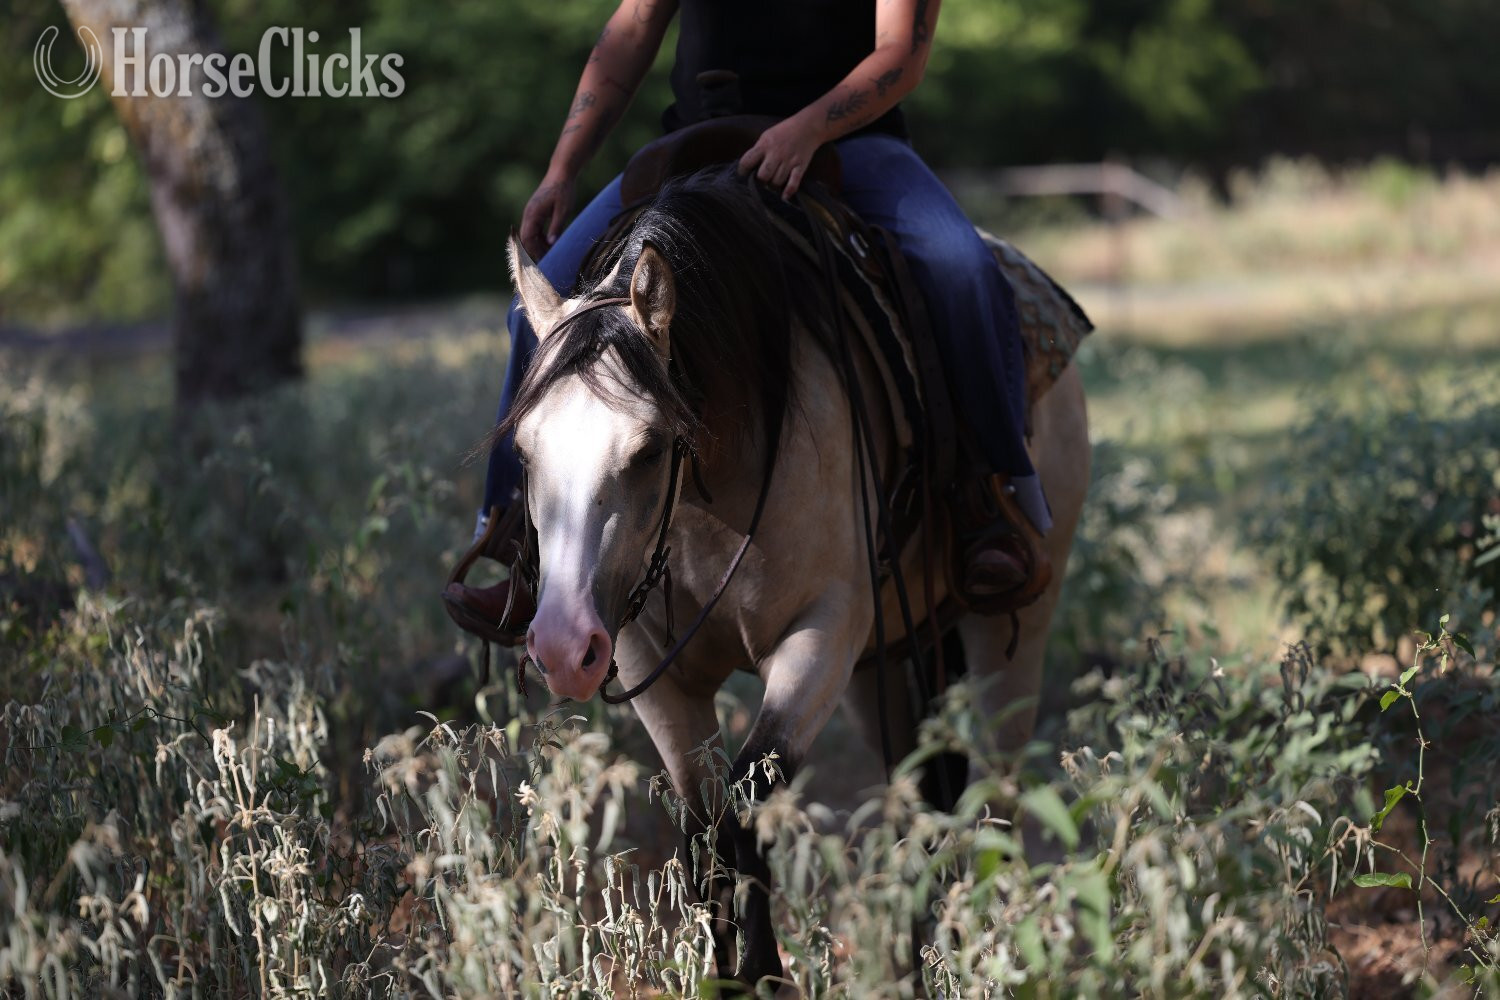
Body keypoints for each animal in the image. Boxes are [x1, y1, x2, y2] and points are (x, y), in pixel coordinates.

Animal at [498, 167, 1091, 989]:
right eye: (524, 451)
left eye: (649, 448)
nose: (560, 647)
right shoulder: (657, 671)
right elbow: (706, 834)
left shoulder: (821, 634)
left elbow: (746, 814)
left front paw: (764, 974)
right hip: (888, 661)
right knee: (925, 793)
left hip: (1015, 627)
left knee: (993, 795)